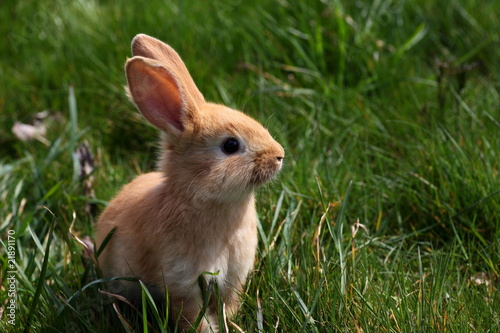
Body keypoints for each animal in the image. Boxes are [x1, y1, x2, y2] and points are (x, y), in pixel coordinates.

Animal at [96, 34, 286, 332]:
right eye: (230, 145)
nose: (279, 155)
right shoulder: (181, 281)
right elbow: (192, 315)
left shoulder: (233, 278)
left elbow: (228, 304)